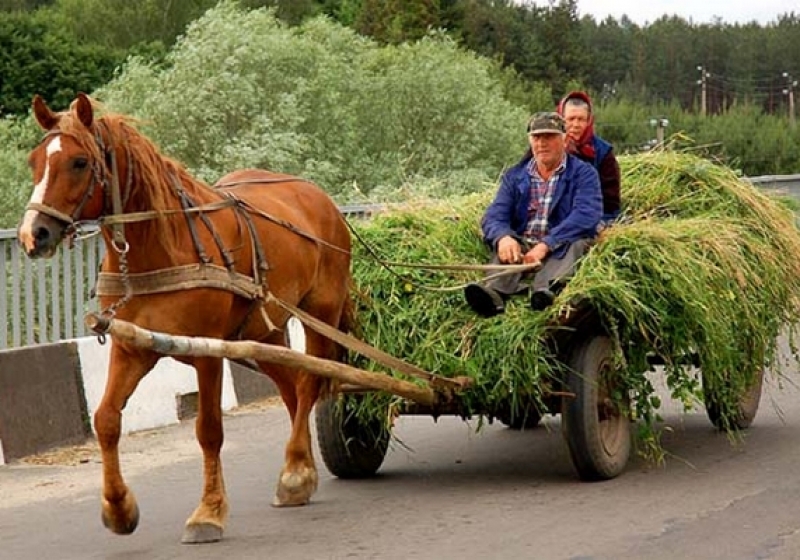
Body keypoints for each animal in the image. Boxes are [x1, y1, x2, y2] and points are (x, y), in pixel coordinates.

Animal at [17, 92, 354, 544]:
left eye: (79, 162)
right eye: (35, 161)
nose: (32, 234)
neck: (161, 247)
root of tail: (316, 196)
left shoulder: (208, 352)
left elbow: (209, 429)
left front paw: (208, 512)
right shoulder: (130, 347)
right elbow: (106, 420)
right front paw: (118, 508)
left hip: (322, 315)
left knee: (310, 382)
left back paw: (295, 474)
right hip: (262, 335)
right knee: (293, 388)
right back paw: (299, 467)